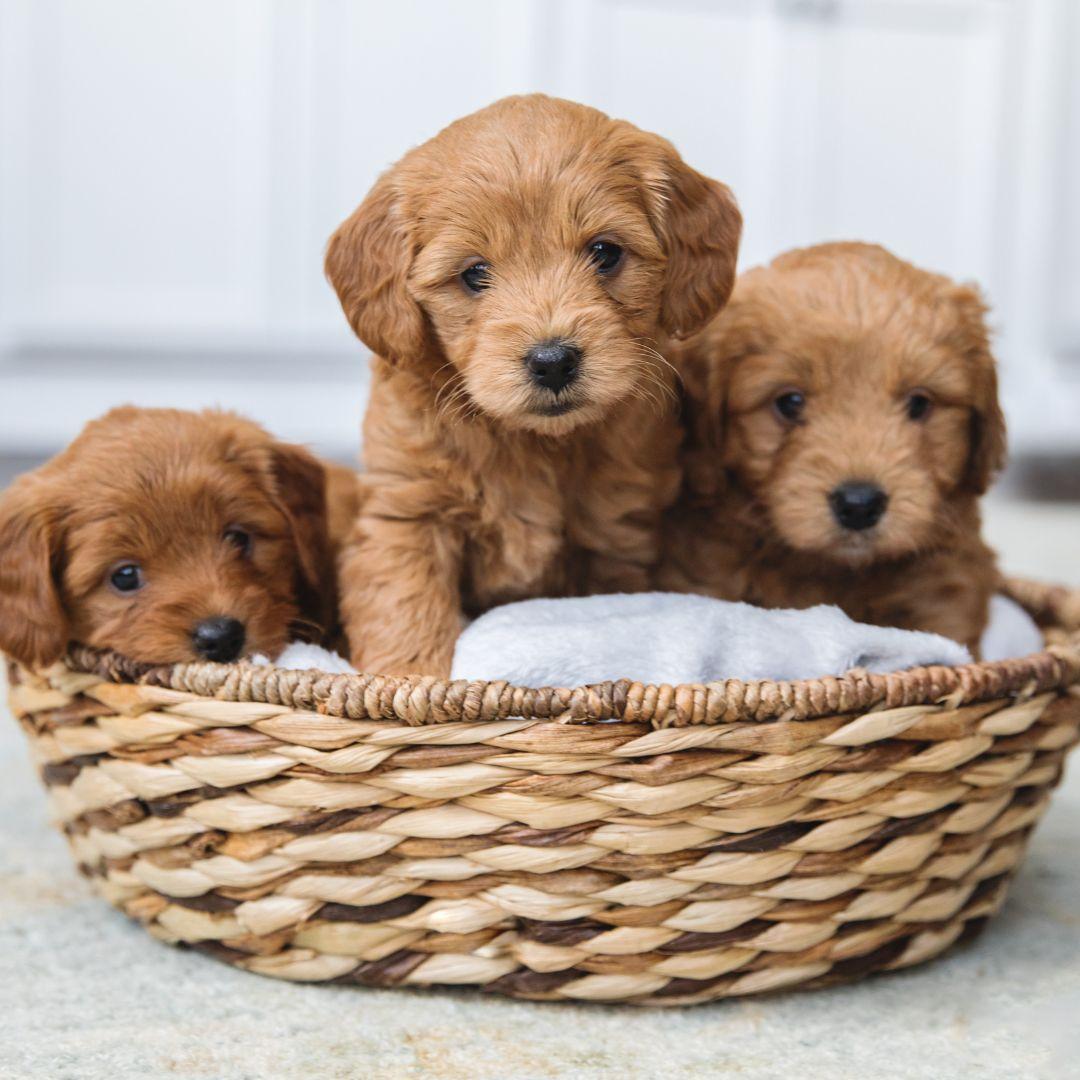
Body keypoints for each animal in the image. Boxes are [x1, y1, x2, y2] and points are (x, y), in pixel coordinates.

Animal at [321, 92, 743, 673]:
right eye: (474, 273)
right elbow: (406, 610)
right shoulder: (407, 515)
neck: (535, 444)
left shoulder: (614, 539)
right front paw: (410, 680)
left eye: (605, 252)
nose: (552, 361)